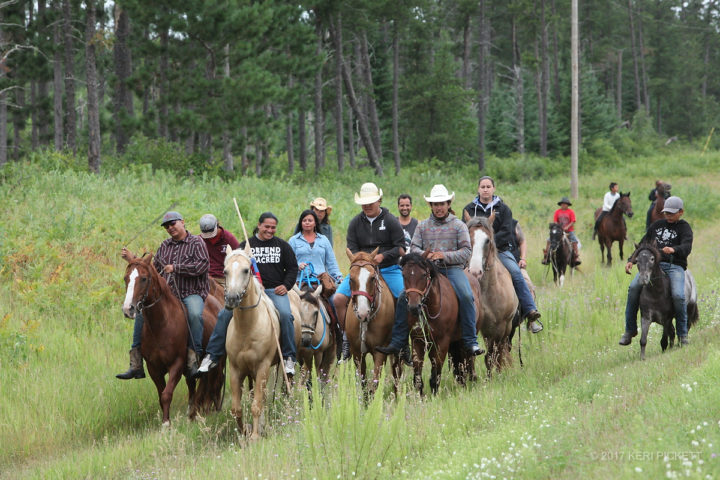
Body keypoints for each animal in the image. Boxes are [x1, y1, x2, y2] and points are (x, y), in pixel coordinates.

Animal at [120, 256, 225, 426]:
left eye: (143, 279)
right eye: (126, 278)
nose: (128, 309)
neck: (161, 324)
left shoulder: (177, 363)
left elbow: (167, 394)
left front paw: (166, 424)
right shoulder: (153, 368)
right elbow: (161, 394)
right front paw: (167, 420)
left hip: (217, 361)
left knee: (214, 383)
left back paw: (208, 410)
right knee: (196, 385)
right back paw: (193, 411)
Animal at [224, 246, 300, 440]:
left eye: (246, 270)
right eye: (225, 271)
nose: (232, 299)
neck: (247, 328)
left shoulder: (262, 367)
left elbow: (257, 405)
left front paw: (255, 437)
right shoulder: (236, 369)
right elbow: (236, 409)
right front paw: (244, 432)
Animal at [344, 248, 400, 394]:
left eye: (372, 278)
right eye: (351, 279)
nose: (363, 312)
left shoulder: (379, 352)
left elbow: (375, 384)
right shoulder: (357, 353)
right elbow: (362, 382)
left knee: (397, 372)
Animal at [402, 251, 480, 394]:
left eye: (423, 275)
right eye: (404, 275)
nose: (414, 307)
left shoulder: (442, 342)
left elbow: (435, 373)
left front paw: (434, 394)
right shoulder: (417, 339)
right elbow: (417, 375)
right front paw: (421, 396)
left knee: (468, 360)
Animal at [464, 213, 520, 376]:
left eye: (487, 240)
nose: (475, 271)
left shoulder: (497, 328)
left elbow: (492, 356)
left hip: (506, 328)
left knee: (501, 351)